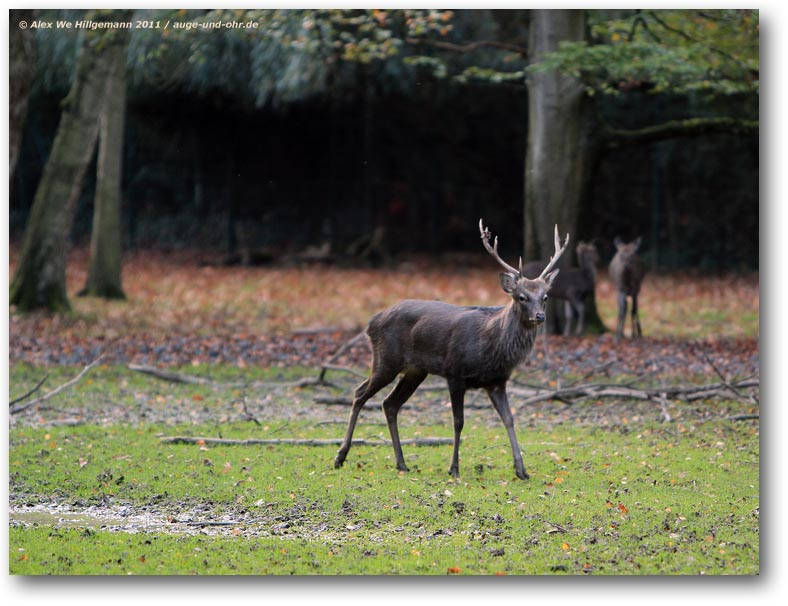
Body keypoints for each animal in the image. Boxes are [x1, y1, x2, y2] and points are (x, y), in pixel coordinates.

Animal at [332, 221, 568, 482]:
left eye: (545, 296)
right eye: (521, 297)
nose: (540, 316)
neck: (491, 348)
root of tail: (371, 323)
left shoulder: (497, 381)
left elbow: (509, 419)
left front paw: (522, 470)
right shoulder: (455, 373)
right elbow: (458, 421)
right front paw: (454, 468)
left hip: (415, 371)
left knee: (389, 404)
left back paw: (401, 463)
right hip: (386, 359)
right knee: (359, 393)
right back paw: (340, 456)